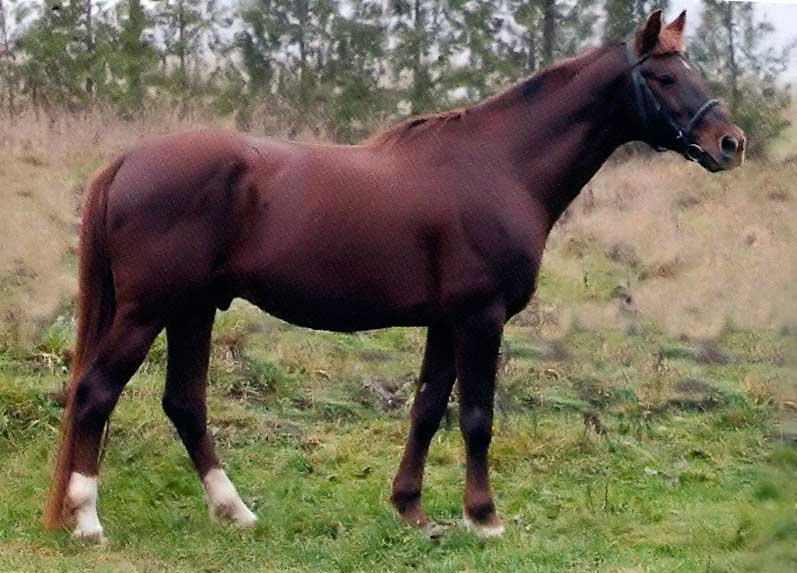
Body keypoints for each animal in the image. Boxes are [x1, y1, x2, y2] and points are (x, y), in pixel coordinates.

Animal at [44, 9, 745, 542]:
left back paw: (234, 511)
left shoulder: (444, 322)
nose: (730, 143)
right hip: (149, 310)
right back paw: (88, 521)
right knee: (95, 392)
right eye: (662, 76)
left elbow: (427, 409)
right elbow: (477, 416)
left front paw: (411, 508)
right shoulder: (480, 318)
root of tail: (127, 160)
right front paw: (483, 518)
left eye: (693, 70)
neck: (500, 165)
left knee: (184, 404)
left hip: (192, 309)